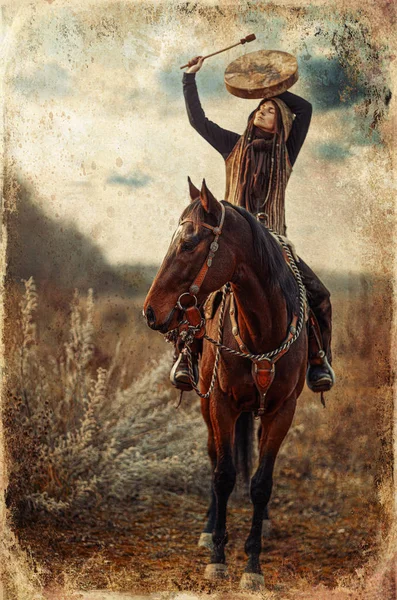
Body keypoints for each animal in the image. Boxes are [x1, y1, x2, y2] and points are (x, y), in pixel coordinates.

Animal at [142, 178, 306, 592]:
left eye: (188, 244)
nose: (150, 311)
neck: (263, 332)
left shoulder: (283, 411)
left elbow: (261, 484)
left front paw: (253, 565)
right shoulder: (220, 404)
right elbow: (224, 474)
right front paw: (217, 557)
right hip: (207, 406)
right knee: (215, 457)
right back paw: (208, 526)